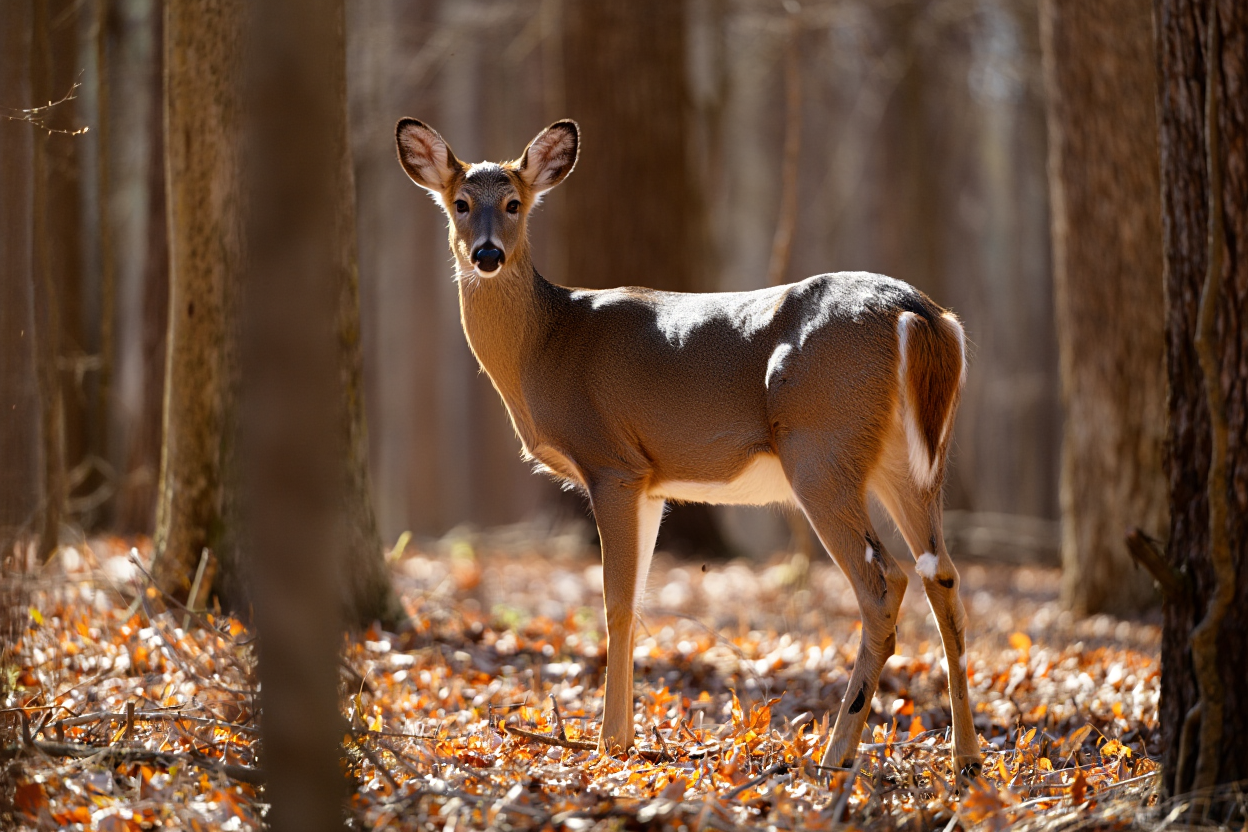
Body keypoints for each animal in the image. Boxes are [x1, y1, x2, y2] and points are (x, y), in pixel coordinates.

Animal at [395, 118, 982, 777]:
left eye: (515, 203)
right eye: (460, 203)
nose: (488, 254)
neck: (546, 345)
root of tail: (921, 315)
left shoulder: (611, 462)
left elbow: (615, 603)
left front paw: (611, 743)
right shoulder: (651, 482)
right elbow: (635, 601)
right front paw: (623, 736)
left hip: (820, 449)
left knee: (885, 584)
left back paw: (835, 756)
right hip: (912, 461)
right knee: (943, 576)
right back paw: (965, 758)